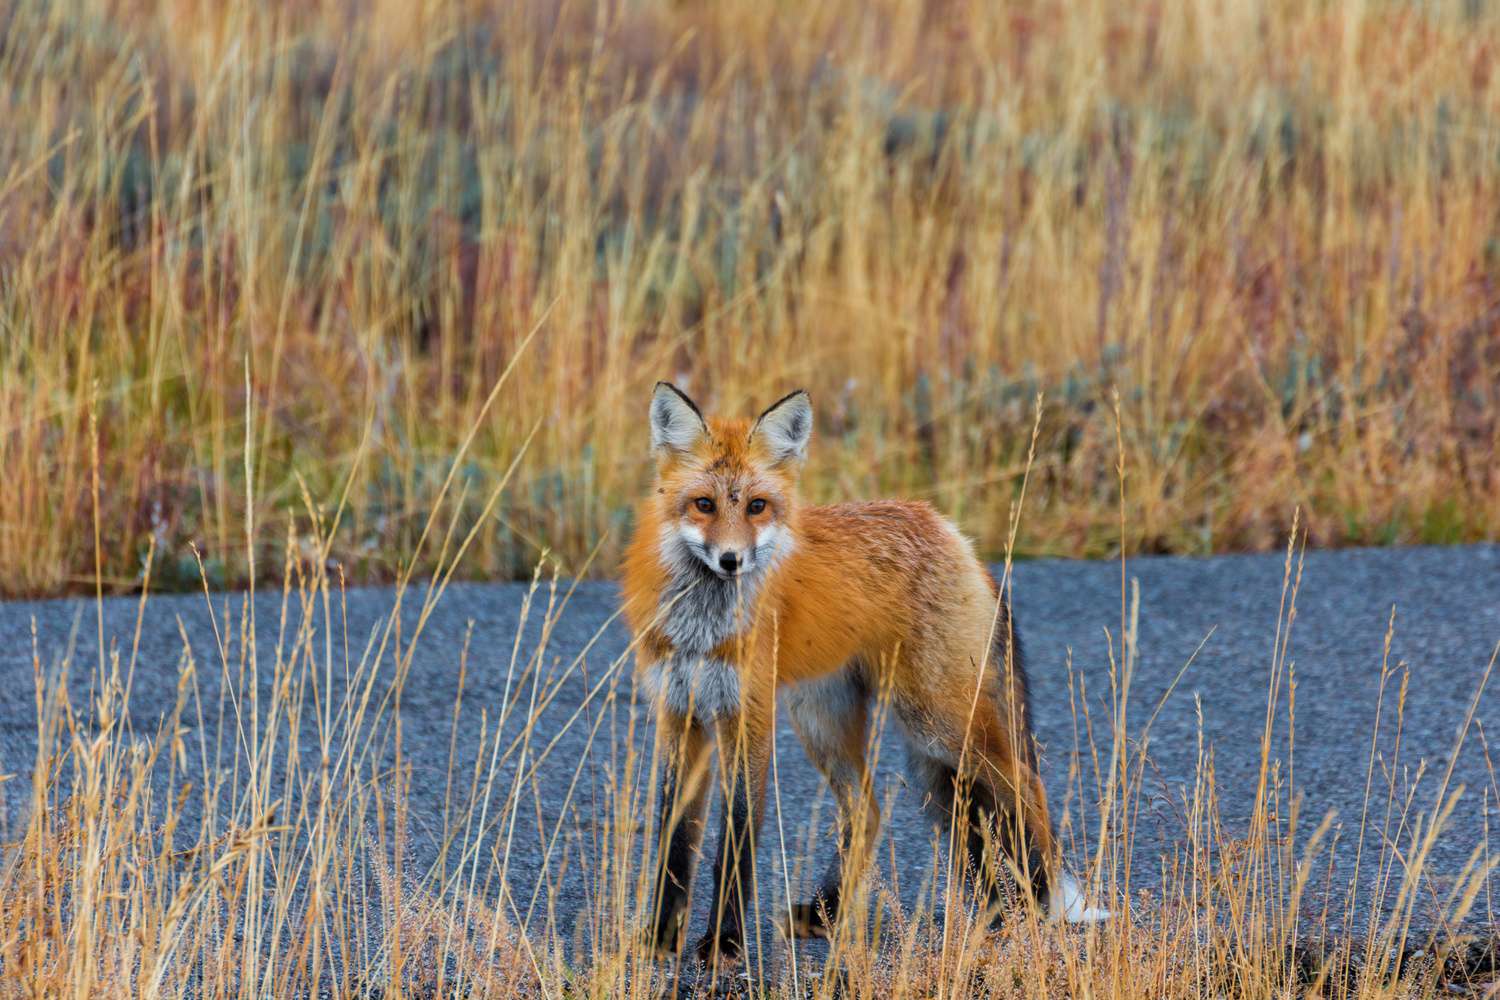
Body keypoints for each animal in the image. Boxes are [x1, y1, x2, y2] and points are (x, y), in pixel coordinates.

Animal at [621, 382, 1107, 967]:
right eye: (704, 505)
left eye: (757, 506)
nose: (732, 560)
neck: (704, 625)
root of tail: (947, 528)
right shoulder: (679, 711)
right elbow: (675, 838)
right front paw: (660, 936)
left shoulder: (747, 716)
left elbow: (735, 841)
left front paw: (724, 944)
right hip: (821, 721)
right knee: (867, 810)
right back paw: (827, 912)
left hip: (937, 721)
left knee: (1026, 785)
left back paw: (1035, 904)